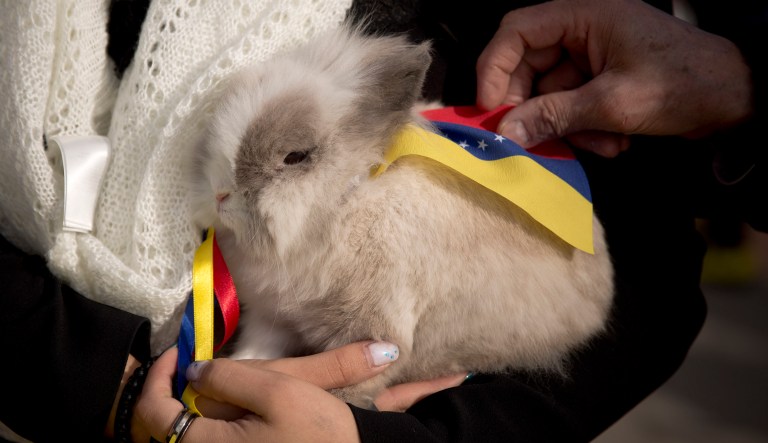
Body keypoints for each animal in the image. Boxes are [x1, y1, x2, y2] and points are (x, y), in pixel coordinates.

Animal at [187, 22, 615, 409]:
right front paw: (240, 365)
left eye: (295, 156)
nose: (220, 193)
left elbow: (357, 385)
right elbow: (259, 347)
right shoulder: (272, 316)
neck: (344, 205)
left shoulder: (377, 332)